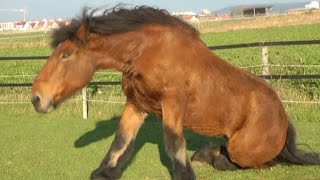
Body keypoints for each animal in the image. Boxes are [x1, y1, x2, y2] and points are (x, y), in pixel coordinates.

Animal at [30, 5, 320, 180]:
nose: (36, 98)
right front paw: (105, 172)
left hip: (242, 149)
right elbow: (121, 140)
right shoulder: (136, 105)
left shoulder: (171, 105)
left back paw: (210, 156)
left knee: (256, 161)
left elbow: (173, 145)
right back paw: (206, 153)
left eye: (66, 54)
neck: (147, 53)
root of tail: (283, 119)